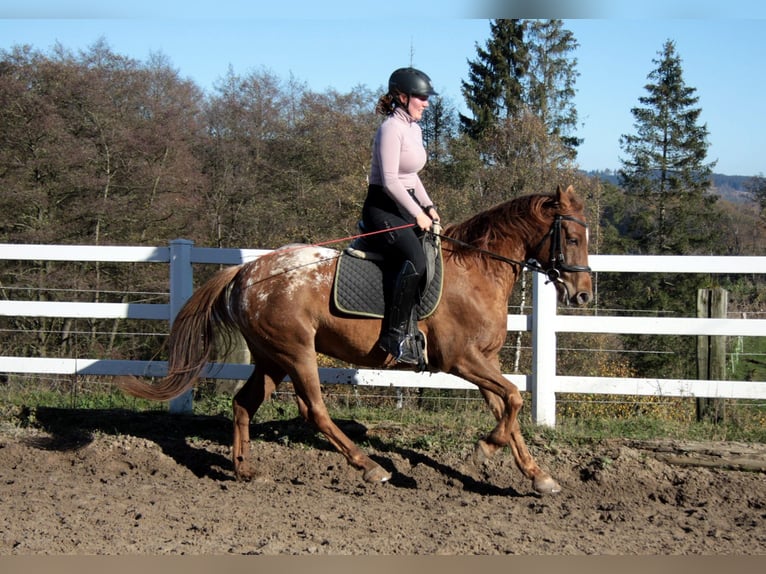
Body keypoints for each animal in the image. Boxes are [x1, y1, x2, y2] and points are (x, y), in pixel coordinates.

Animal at [123, 184, 596, 496]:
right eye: (572, 238)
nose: (582, 295)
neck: (476, 269)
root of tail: (246, 271)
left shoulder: (486, 362)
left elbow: (507, 409)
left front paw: (537, 475)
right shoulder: (461, 360)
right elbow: (515, 399)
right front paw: (483, 451)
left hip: (271, 357)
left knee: (243, 404)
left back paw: (245, 472)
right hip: (297, 352)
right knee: (314, 410)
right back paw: (369, 467)